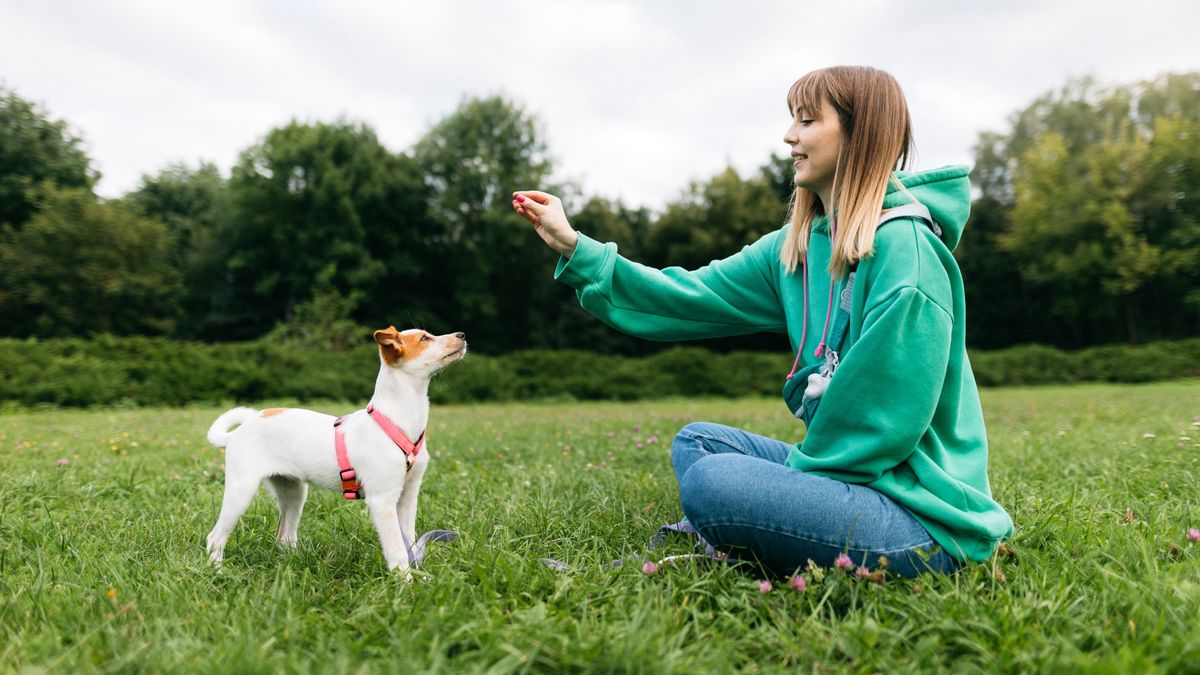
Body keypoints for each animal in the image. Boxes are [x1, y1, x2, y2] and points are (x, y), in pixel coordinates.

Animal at [204, 324, 465, 571]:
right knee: (215, 537)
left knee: (284, 536)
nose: (462, 334)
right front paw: (405, 581)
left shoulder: (408, 496)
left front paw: (419, 574)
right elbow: (397, 550)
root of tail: (239, 431)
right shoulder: (382, 501)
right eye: (424, 338)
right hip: (242, 490)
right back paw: (218, 571)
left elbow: (409, 542)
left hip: (294, 492)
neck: (395, 421)